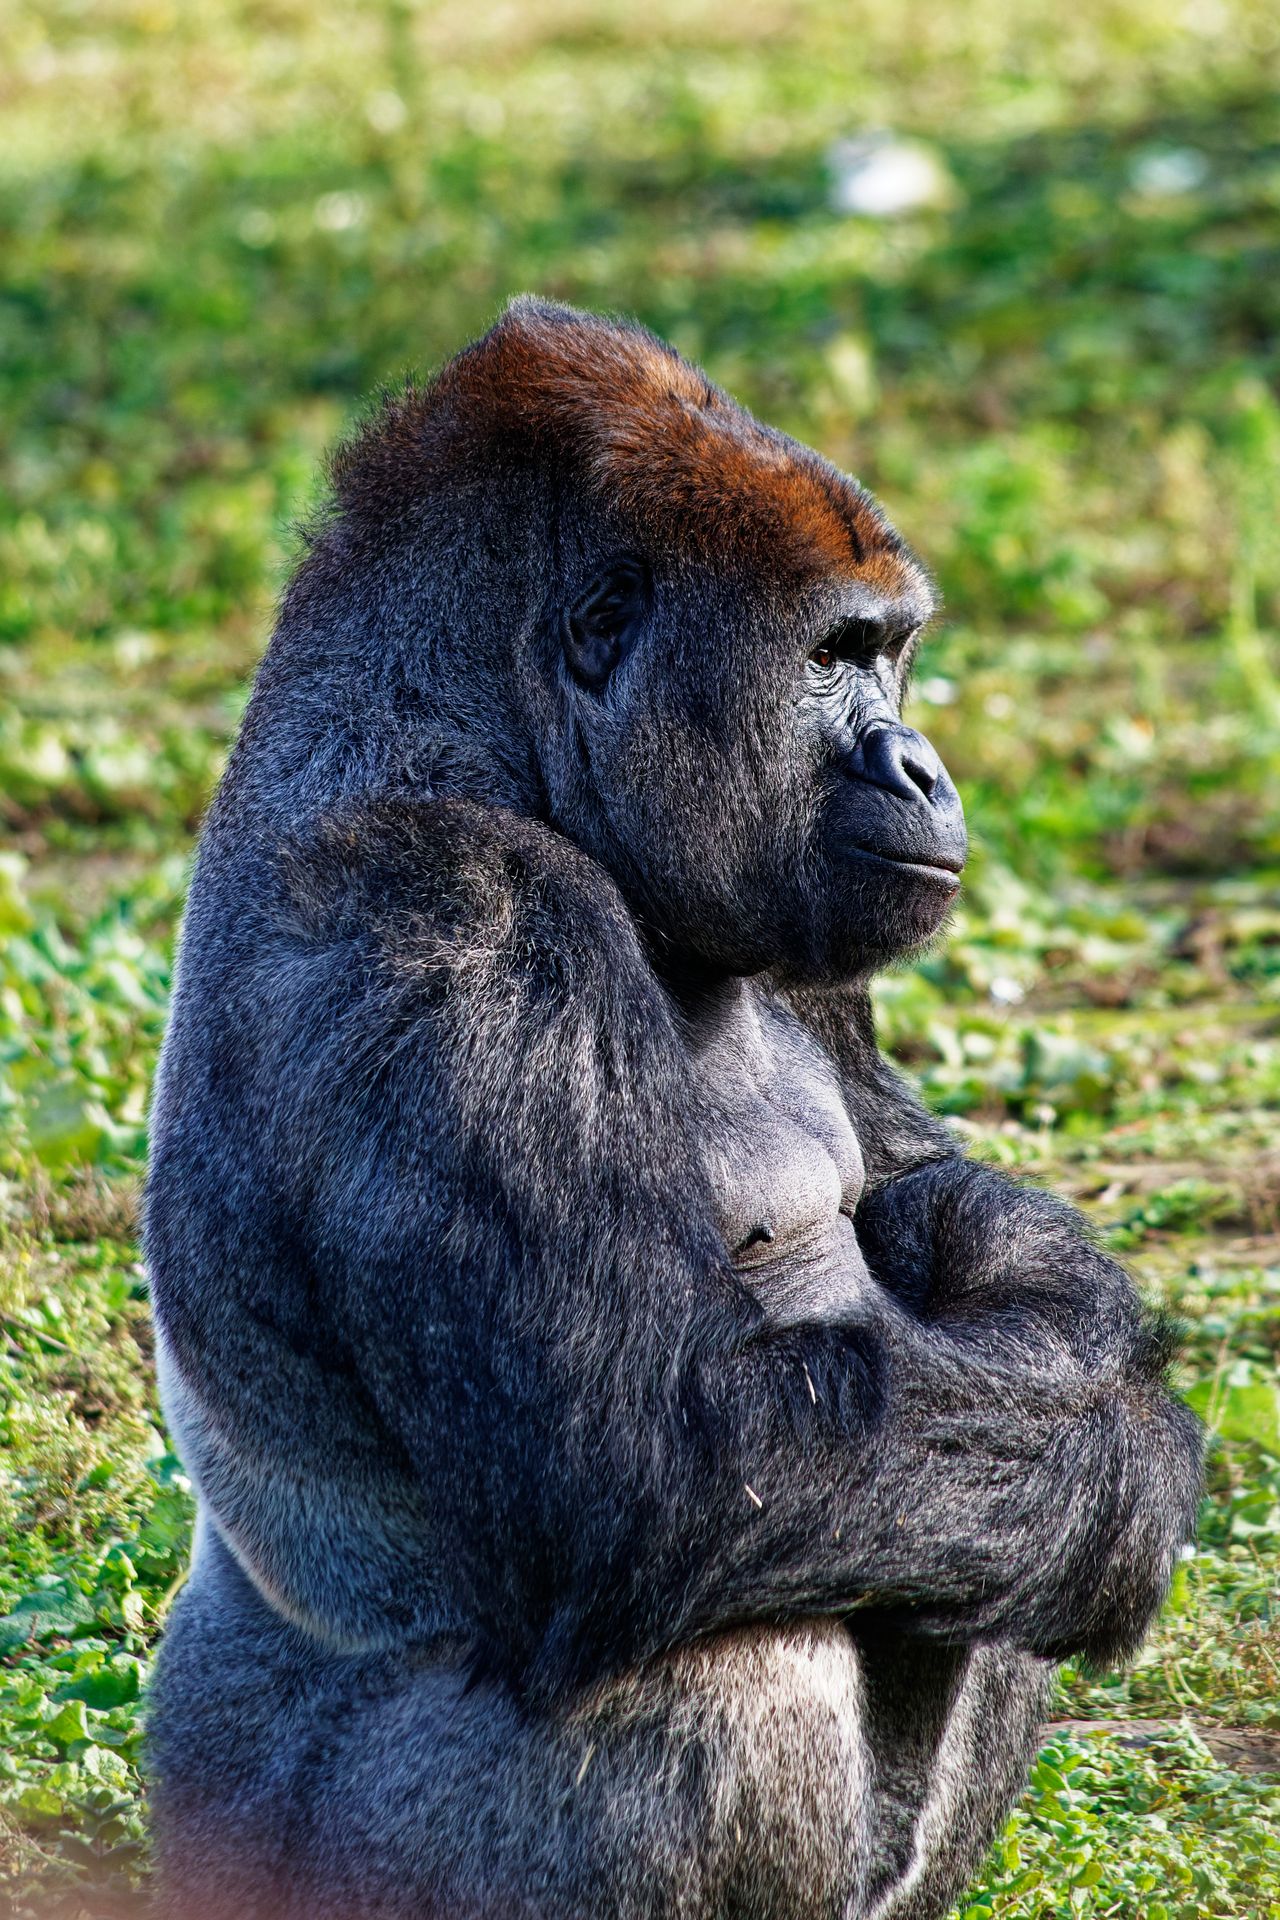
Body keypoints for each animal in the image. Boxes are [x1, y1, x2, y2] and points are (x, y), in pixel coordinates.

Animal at [143, 298, 1203, 1920]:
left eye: (890, 655)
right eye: (834, 654)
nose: (922, 766)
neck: (479, 728)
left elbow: (956, 1234)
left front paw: (1015, 1279)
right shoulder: (450, 912)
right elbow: (658, 1461)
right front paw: (1129, 1483)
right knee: (723, 1641)